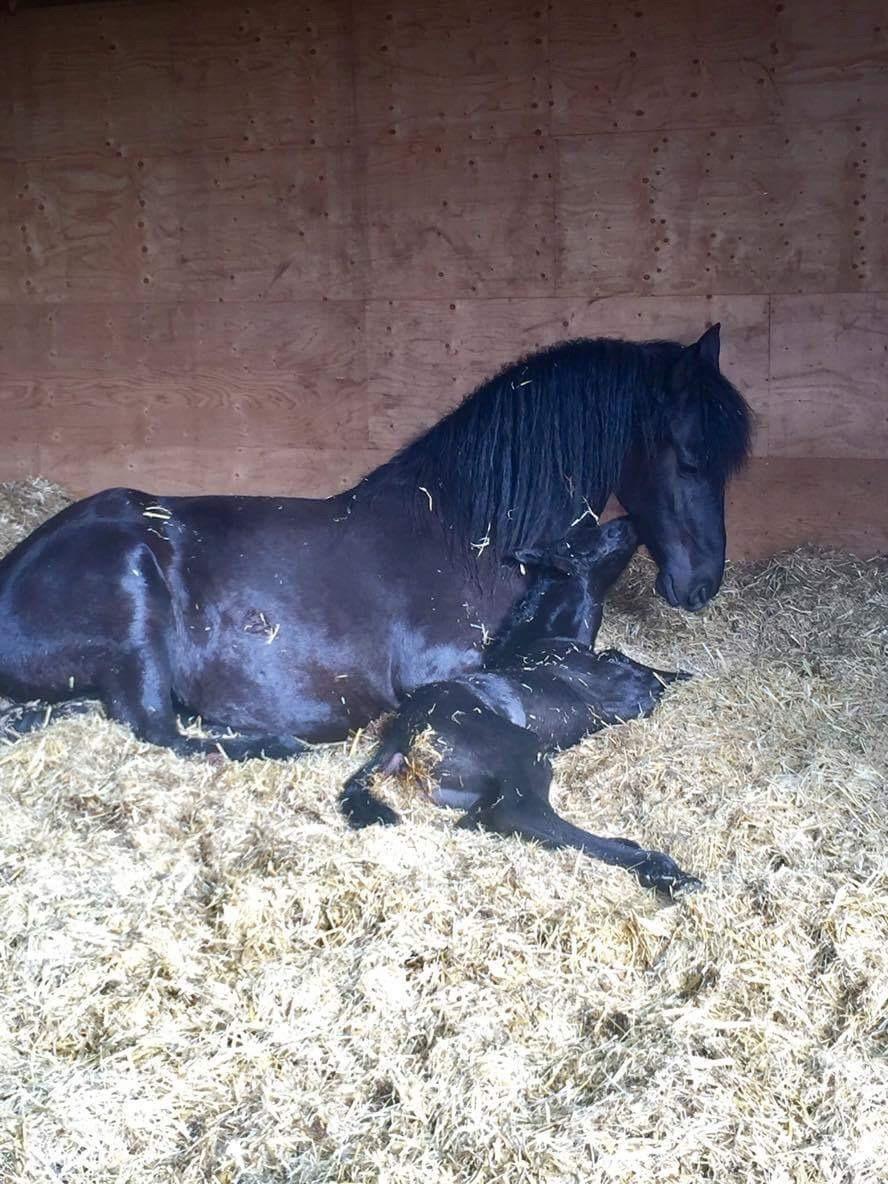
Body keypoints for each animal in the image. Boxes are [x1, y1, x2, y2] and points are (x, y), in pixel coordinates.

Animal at [340, 518, 700, 895]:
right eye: (580, 538)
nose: (626, 522)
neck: (553, 638)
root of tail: (401, 735)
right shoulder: (630, 693)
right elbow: (650, 676)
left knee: (480, 819)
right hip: (523, 750)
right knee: (521, 812)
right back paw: (662, 868)